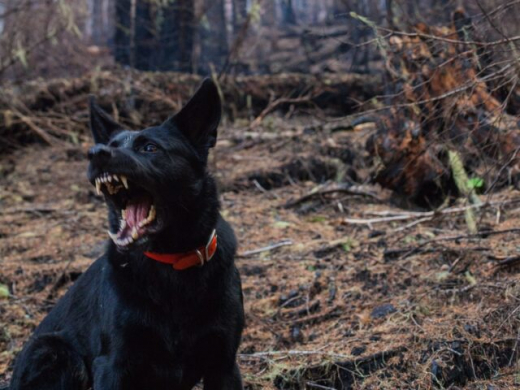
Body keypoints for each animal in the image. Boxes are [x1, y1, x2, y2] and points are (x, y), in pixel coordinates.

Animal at [7, 79, 244, 390]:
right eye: (110, 146)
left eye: (150, 148)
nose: (96, 153)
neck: (171, 263)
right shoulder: (113, 364)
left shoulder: (224, 364)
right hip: (55, 352)